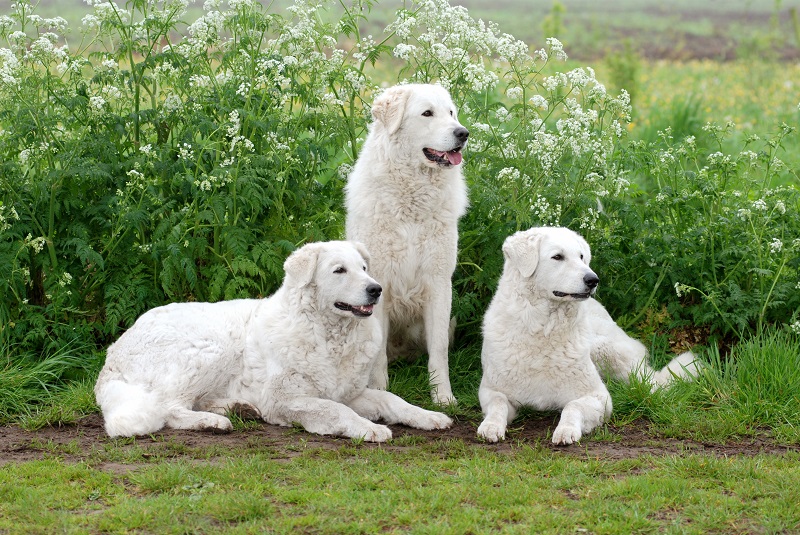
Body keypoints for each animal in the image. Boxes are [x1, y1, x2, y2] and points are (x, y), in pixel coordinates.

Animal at [94, 241, 450, 442]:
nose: (376, 289)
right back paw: (213, 422)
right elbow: (334, 410)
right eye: (340, 270)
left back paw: (238, 408)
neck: (329, 335)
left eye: (364, 268)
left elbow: (393, 400)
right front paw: (368, 428)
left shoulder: (351, 391)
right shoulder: (285, 399)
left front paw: (428, 416)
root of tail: (114, 353)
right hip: (212, 349)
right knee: (169, 408)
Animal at [344, 82, 468, 406]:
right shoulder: (379, 284)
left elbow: (439, 350)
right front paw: (379, 391)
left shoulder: (439, 284)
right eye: (427, 113)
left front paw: (443, 396)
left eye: (451, 113)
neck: (412, 200)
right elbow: (377, 357)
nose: (463, 133)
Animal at [476, 228, 700, 446]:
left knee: (652, 382)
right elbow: (498, 404)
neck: (543, 329)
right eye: (557, 257)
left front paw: (566, 430)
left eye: (581, 256)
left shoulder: (598, 396)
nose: (593, 280)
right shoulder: (490, 390)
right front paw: (490, 426)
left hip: (606, 350)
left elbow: (572, 406)